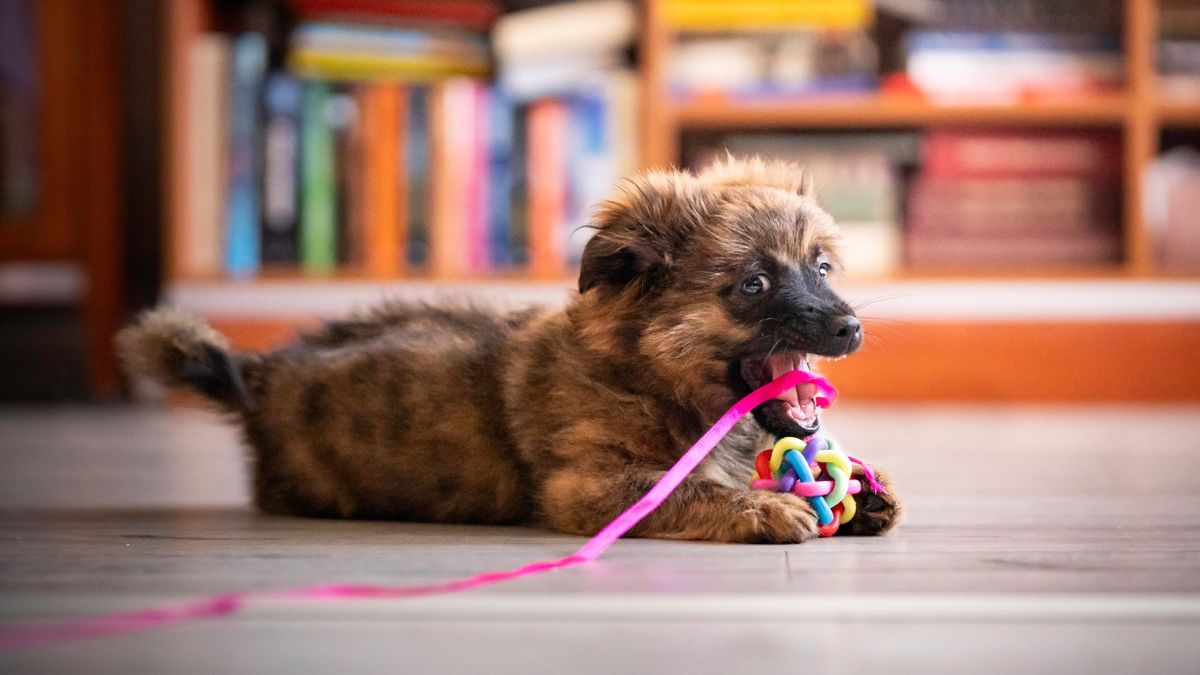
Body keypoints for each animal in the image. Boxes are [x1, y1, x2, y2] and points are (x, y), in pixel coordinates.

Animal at [119, 157, 902, 540]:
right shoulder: (590, 485)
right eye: (753, 283)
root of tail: (262, 373)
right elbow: (686, 489)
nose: (849, 328)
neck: (645, 372)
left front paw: (863, 495)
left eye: (822, 267)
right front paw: (760, 511)